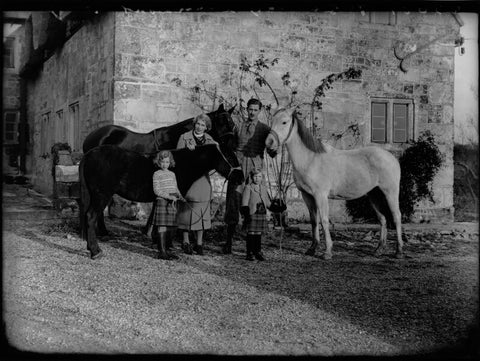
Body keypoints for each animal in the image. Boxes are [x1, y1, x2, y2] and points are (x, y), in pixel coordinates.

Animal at [80, 143, 244, 258]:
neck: (183, 163)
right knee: (91, 216)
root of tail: (88, 155)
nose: (241, 178)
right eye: (230, 158)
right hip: (102, 194)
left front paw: (158, 243)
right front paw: (167, 247)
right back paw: (95, 251)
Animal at [264, 107, 404, 258]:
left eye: (284, 122)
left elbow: (324, 221)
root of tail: (391, 158)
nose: (269, 144)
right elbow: (314, 221)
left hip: (390, 192)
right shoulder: (307, 196)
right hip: (374, 194)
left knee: (396, 216)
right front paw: (312, 248)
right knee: (382, 219)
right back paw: (379, 249)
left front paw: (327, 252)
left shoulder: (320, 195)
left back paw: (399, 251)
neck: (310, 159)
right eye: (272, 120)